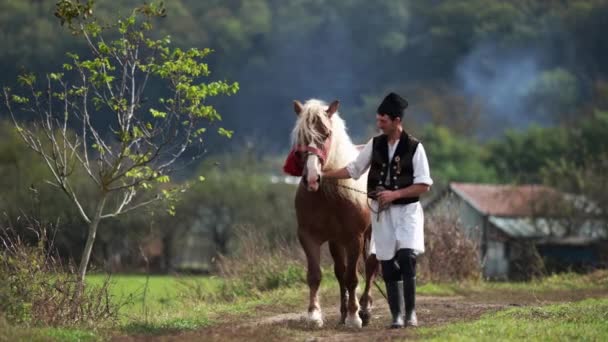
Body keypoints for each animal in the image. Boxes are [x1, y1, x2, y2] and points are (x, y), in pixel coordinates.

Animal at [288, 99, 376, 328]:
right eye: (301, 135)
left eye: (326, 134)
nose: (312, 178)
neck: (328, 196)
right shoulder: (309, 237)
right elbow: (315, 275)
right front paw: (314, 315)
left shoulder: (355, 238)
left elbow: (353, 277)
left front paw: (355, 316)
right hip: (337, 242)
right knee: (340, 271)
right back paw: (344, 313)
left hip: (371, 235)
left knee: (370, 266)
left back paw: (364, 308)